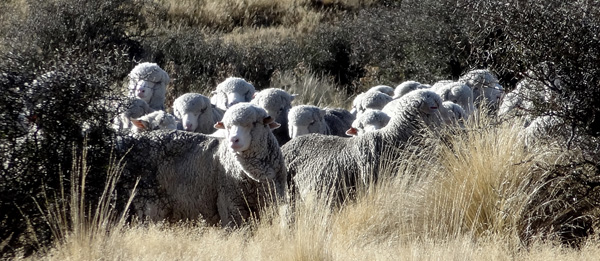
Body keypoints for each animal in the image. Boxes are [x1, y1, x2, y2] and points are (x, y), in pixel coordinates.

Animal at [121, 102, 286, 226]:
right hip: (149, 204)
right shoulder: (230, 205)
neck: (254, 177)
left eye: (254, 123)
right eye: (227, 126)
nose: (233, 140)